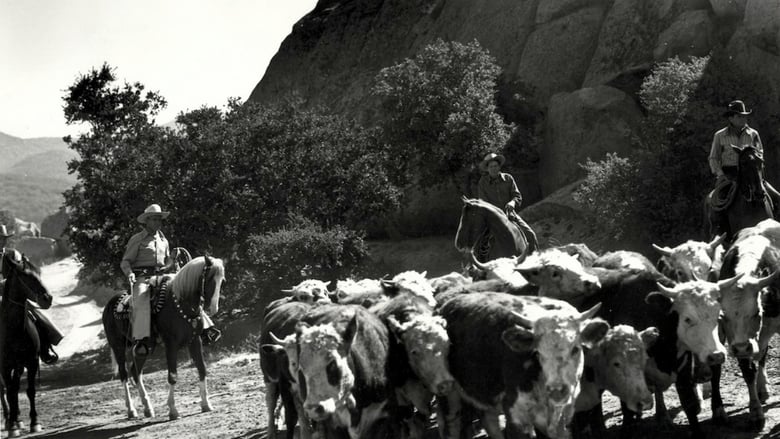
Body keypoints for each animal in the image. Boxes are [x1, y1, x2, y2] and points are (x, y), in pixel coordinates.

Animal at [0, 249, 53, 438]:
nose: (48, 298)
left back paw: (17, 419)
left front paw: (34, 422)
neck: (12, 330)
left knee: (15, 389)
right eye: (26, 276)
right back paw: (9, 420)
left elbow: (30, 391)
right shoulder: (4, 366)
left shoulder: (31, 362)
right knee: (5, 391)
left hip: (19, 366)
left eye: (39, 273)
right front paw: (12, 427)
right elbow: (10, 392)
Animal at [102, 256, 224, 422]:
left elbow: (202, 369)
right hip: (118, 346)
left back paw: (147, 408)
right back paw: (131, 410)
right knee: (124, 374)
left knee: (135, 372)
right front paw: (173, 410)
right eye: (210, 278)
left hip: (143, 349)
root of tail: (110, 304)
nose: (213, 308)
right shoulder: (170, 344)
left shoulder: (195, 341)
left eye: (221, 280)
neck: (180, 303)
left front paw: (206, 404)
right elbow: (172, 375)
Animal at [436, 290, 608, 438]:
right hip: (448, 394)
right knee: (451, 427)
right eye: (537, 353)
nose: (556, 391)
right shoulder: (517, 417)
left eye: (575, 349)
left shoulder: (565, 416)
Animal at [576, 268, 740, 439]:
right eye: (687, 319)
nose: (717, 355)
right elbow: (627, 413)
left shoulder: (683, 370)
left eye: (718, 316)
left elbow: (689, 404)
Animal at [708, 220, 780, 430]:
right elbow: (748, 371)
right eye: (723, 316)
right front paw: (755, 413)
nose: (740, 348)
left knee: (762, 354)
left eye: (756, 313)